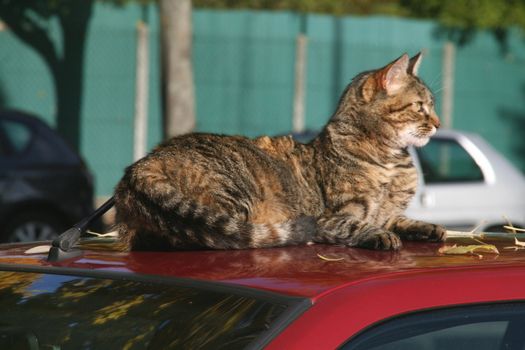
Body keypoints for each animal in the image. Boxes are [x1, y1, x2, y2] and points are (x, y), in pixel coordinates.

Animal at [112, 52, 444, 250]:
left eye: (431, 105)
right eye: (420, 106)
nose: (438, 123)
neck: (392, 161)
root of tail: (141, 165)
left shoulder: (388, 212)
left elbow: (401, 219)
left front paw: (427, 227)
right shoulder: (334, 217)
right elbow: (357, 224)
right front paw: (378, 235)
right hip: (230, 200)